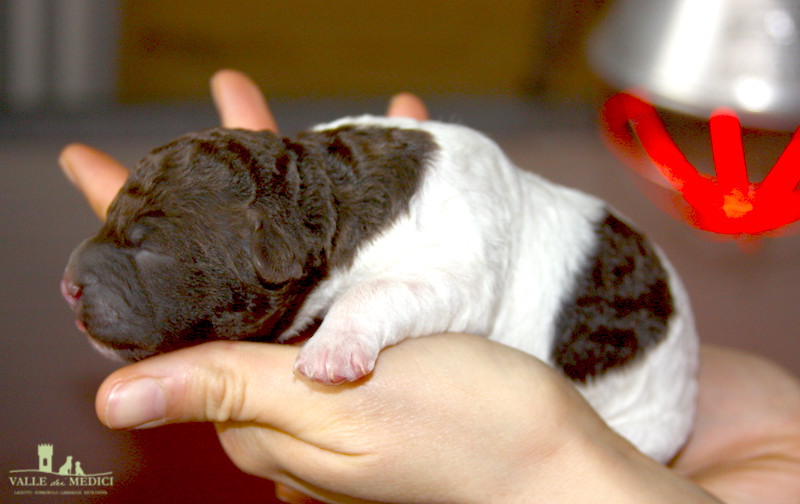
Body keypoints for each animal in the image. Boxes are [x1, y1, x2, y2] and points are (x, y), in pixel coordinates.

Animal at [64, 116, 700, 462]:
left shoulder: (459, 269)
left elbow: (377, 292)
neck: (329, 189)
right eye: (110, 218)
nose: (68, 285)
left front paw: (332, 349)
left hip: (649, 422)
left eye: (149, 247)